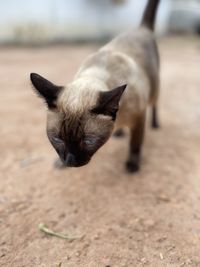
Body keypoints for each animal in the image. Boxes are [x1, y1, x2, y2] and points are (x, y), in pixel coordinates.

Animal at [30, 0, 160, 174]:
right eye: (57, 139)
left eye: (89, 140)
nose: (70, 162)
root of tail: (142, 28)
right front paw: (59, 164)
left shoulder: (139, 117)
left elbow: (135, 144)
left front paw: (132, 165)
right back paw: (119, 133)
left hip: (154, 92)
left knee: (155, 104)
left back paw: (155, 124)